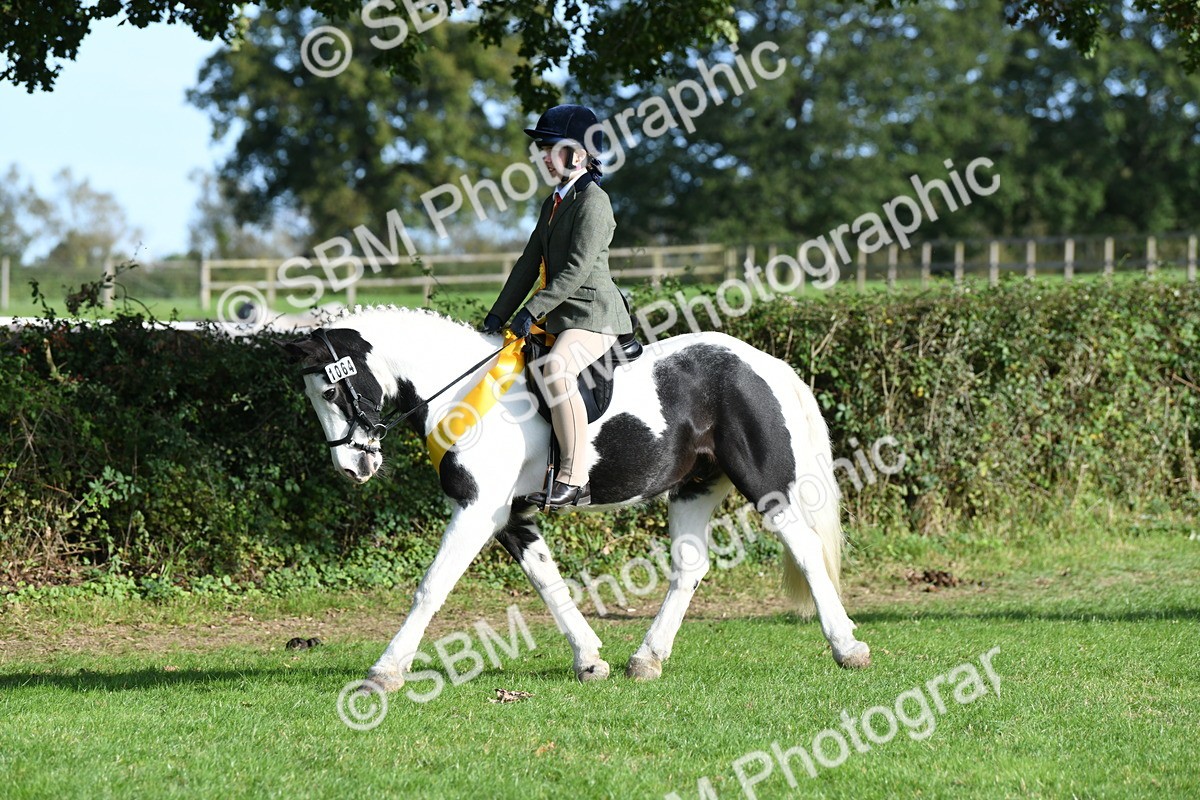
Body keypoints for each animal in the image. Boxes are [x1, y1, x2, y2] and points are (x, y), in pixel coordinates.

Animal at [283, 306, 870, 692]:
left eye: (332, 390)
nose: (353, 467)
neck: (462, 394)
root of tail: (763, 363)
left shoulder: (476, 511)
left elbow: (431, 587)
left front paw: (385, 671)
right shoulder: (511, 518)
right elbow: (549, 584)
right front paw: (589, 659)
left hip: (765, 485)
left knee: (805, 551)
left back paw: (847, 647)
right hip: (694, 488)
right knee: (689, 569)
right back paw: (646, 660)